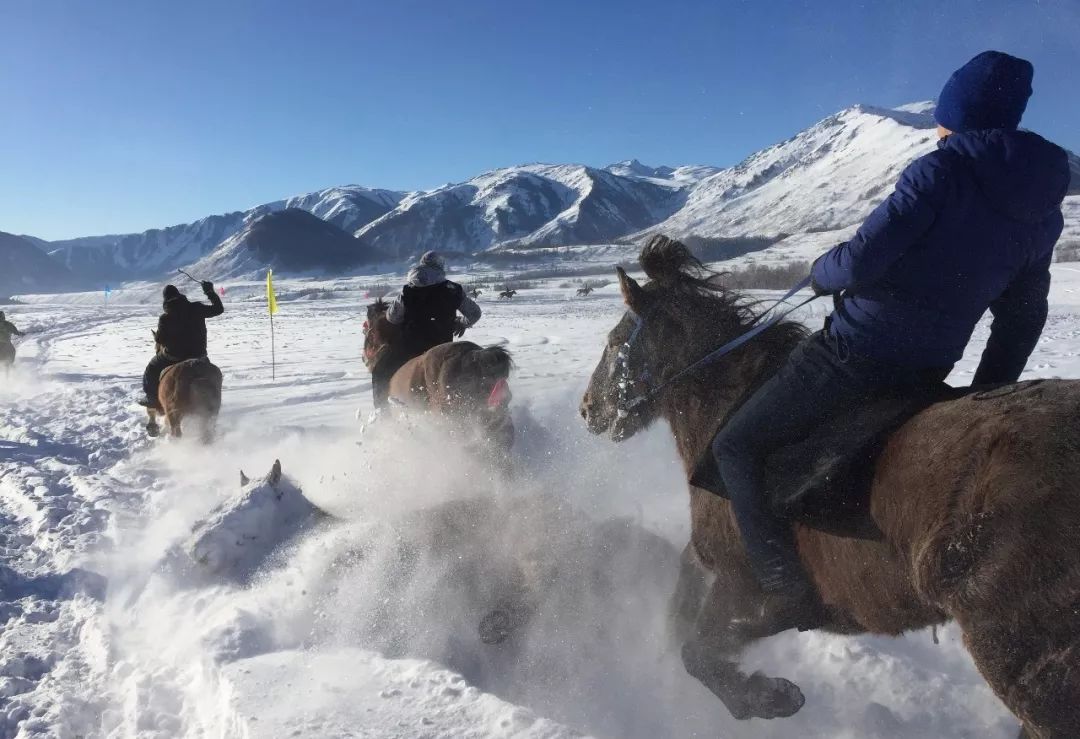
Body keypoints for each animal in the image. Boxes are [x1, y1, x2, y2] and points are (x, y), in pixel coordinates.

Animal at [581, 236, 1080, 738]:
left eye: (614, 343)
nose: (587, 410)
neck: (724, 412)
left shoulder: (745, 593)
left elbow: (698, 653)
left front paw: (769, 698)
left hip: (1023, 659)